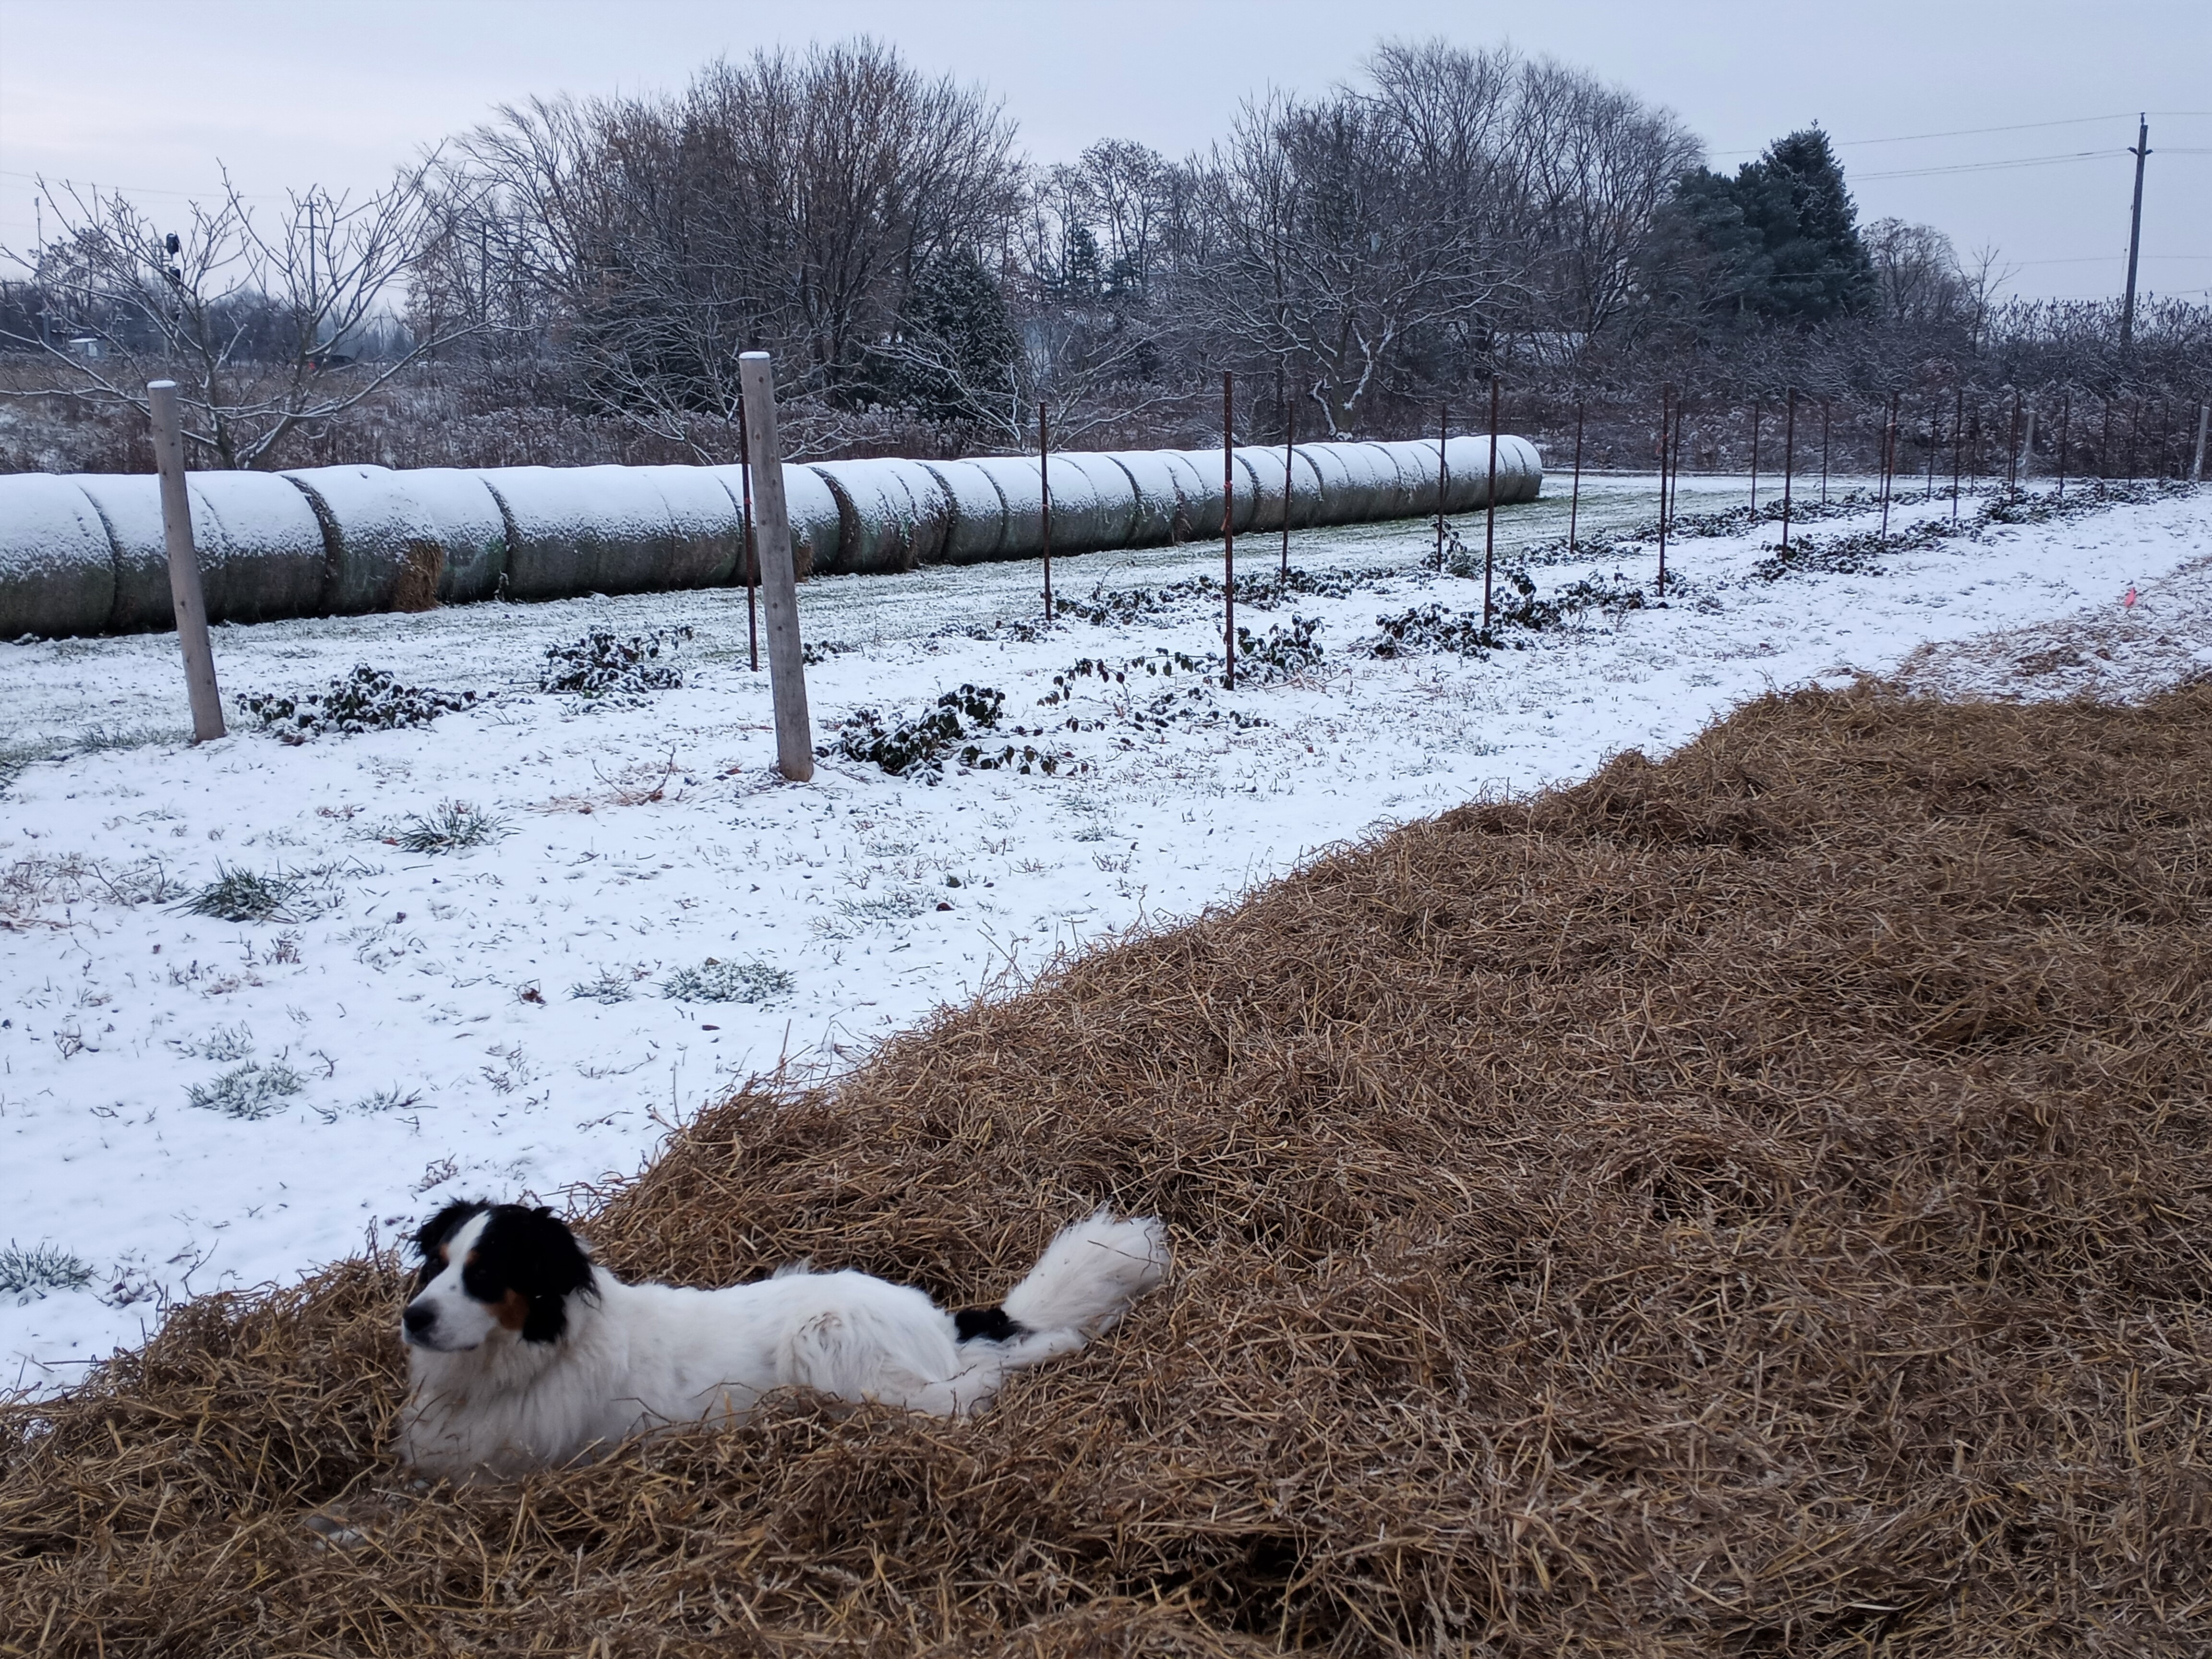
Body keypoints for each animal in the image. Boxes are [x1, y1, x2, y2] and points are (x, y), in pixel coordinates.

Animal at [398, 1200, 1169, 1478]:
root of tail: (936, 1319)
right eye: (435, 1264)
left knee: (965, 1391)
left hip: (823, 1337)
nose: (414, 1318)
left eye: (485, 1273)